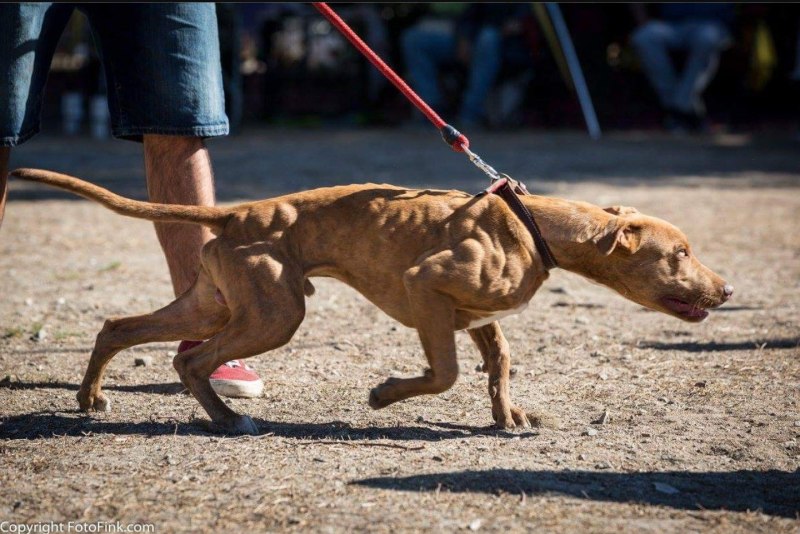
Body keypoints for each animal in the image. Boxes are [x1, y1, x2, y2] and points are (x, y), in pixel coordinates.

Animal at [9, 170, 736, 438]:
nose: (729, 291)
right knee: (191, 362)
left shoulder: (477, 320)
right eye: (680, 252)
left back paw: (91, 399)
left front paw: (507, 416)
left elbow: (498, 365)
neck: (536, 225)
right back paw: (227, 419)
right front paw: (384, 396)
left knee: (120, 327)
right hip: (274, 315)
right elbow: (443, 374)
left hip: (214, 305)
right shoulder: (426, 291)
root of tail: (237, 212)